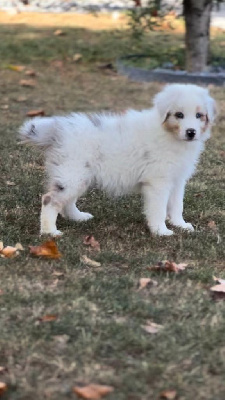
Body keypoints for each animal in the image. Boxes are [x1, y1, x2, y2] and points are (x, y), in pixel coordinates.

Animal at [18, 83, 216, 236]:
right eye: (179, 115)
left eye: (199, 115)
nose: (191, 132)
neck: (170, 135)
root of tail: (58, 130)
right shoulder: (158, 181)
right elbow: (159, 209)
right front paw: (161, 231)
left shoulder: (177, 179)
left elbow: (177, 205)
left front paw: (180, 224)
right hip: (73, 173)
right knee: (50, 200)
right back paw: (50, 232)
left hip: (76, 175)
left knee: (67, 201)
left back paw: (78, 217)